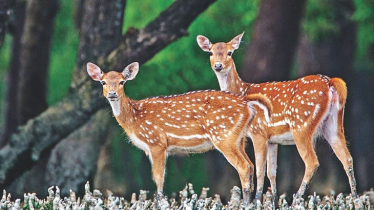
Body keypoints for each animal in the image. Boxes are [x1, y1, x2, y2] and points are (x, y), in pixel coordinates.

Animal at [86, 61, 272, 206]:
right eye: (103, 82)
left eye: (122, 82)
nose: (112, 94)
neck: (134, 119)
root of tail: (246, 104)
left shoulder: (156, 142)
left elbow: (159, 178)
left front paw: (160, 203)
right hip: (239, 139)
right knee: (251, 165)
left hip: (223, 135)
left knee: (244, 166)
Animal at [196, 32, 356, 203]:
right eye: (211, 52)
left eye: (230, 52)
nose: (218, 66)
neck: (242, 91)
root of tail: (330, 82)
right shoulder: (273, 140)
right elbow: (272, 173)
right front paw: (272, 201)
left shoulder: (258, 131)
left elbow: (259, 170)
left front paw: (257, 200)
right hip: (333, 123)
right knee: (347, 158)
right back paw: (354, 198)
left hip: (301, 125)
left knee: (312, 162)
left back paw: (297, 199)